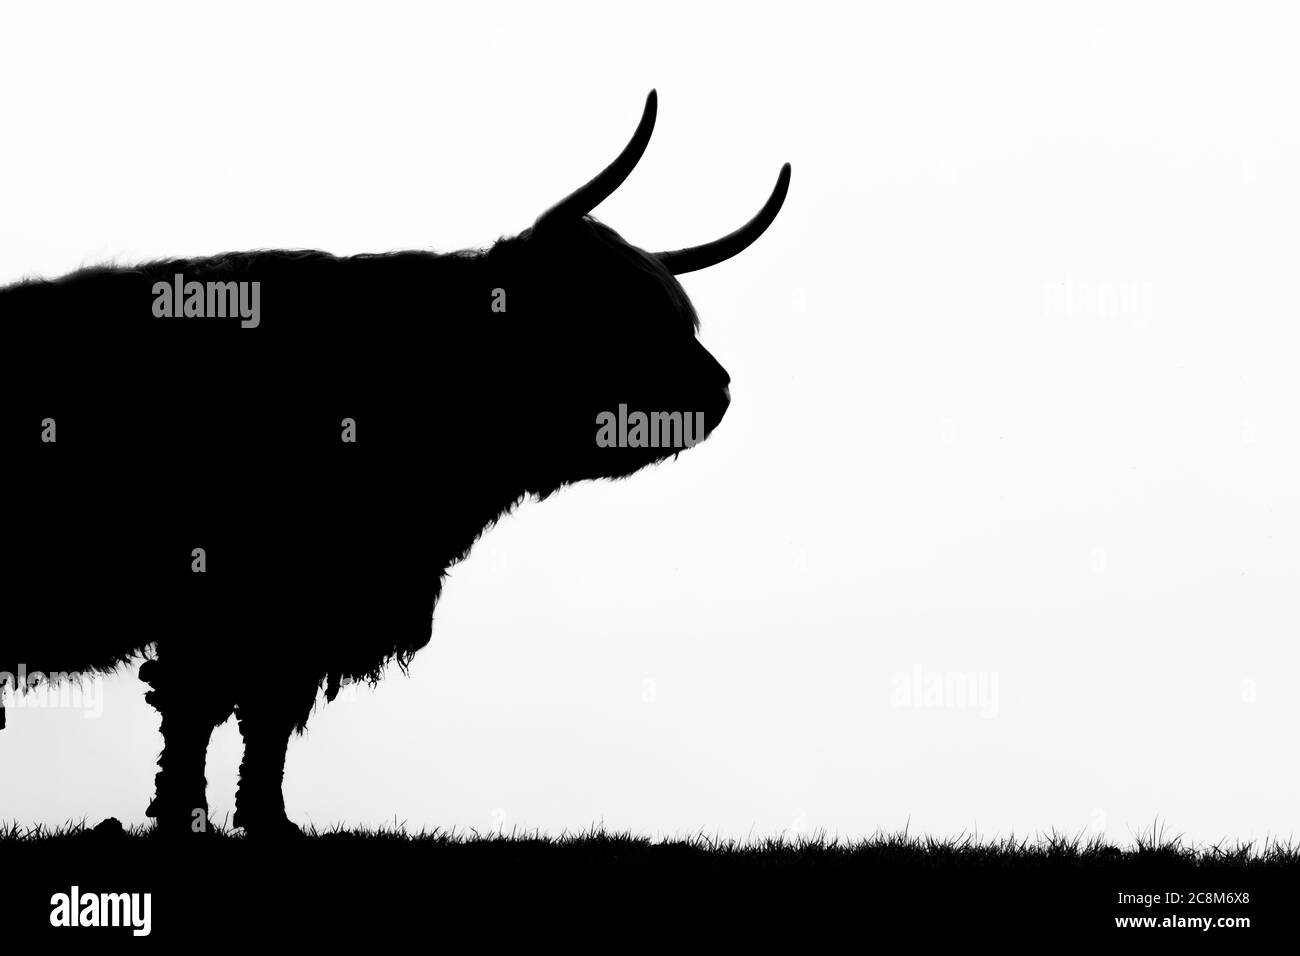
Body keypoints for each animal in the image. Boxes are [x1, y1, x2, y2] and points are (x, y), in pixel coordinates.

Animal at [0, 91, 785, 837]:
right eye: (607, 306)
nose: (718, 388)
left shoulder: (307, 609)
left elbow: (267, 717)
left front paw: (269, 819)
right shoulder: (225, 594)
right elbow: (200, 709)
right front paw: (183, 818)